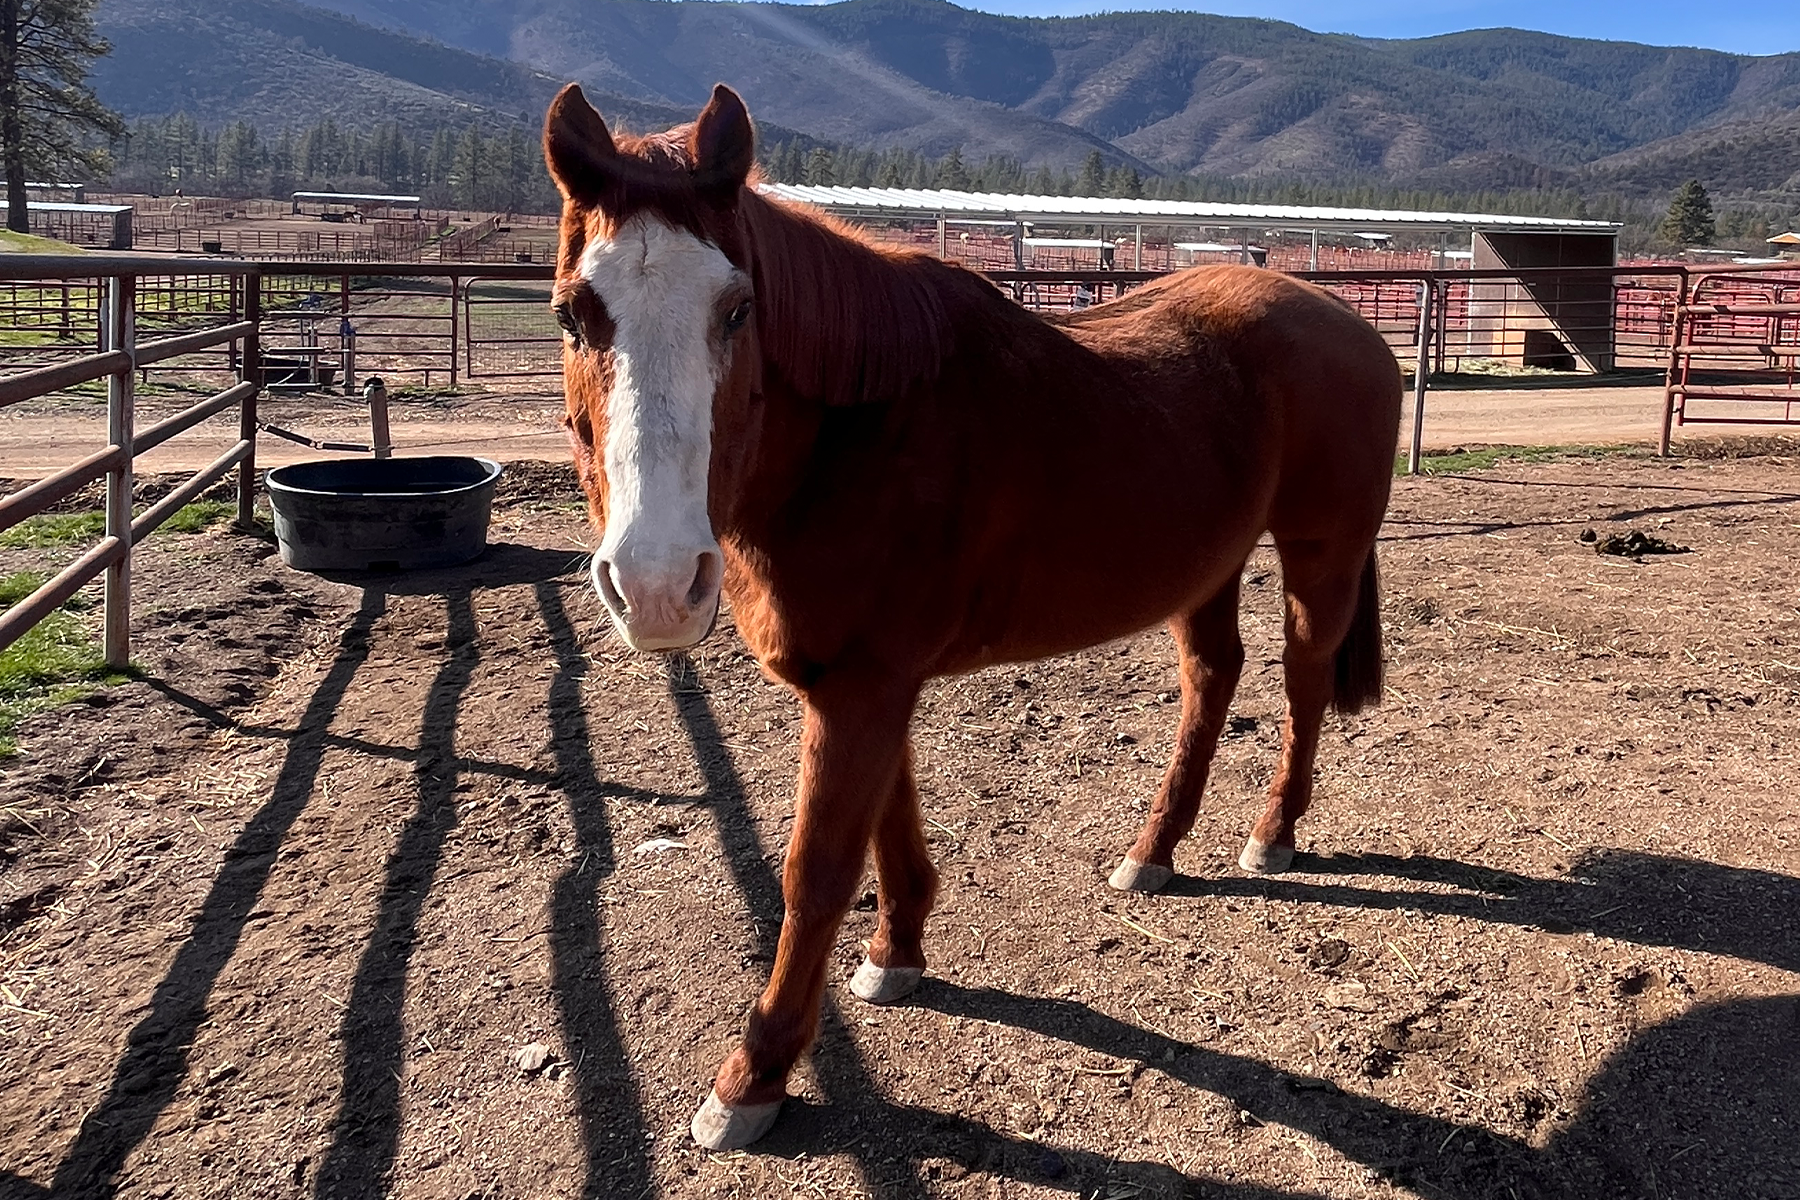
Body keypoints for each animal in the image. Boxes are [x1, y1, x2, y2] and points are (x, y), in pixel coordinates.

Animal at [542, 82, 1402, 1151]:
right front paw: (897, 953)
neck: (861, 427)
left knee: (1302, 682)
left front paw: (755, 1074)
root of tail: (1347, 320)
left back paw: (1272, 832)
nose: (657, 583)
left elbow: (816, 869)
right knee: (1214, 676)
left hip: (1320, 557)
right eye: (575, 312)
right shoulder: (859, 683)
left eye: (737, 308)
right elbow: (885, 823)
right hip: (1208, 566)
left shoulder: (866, 687)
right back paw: (1153, 850)